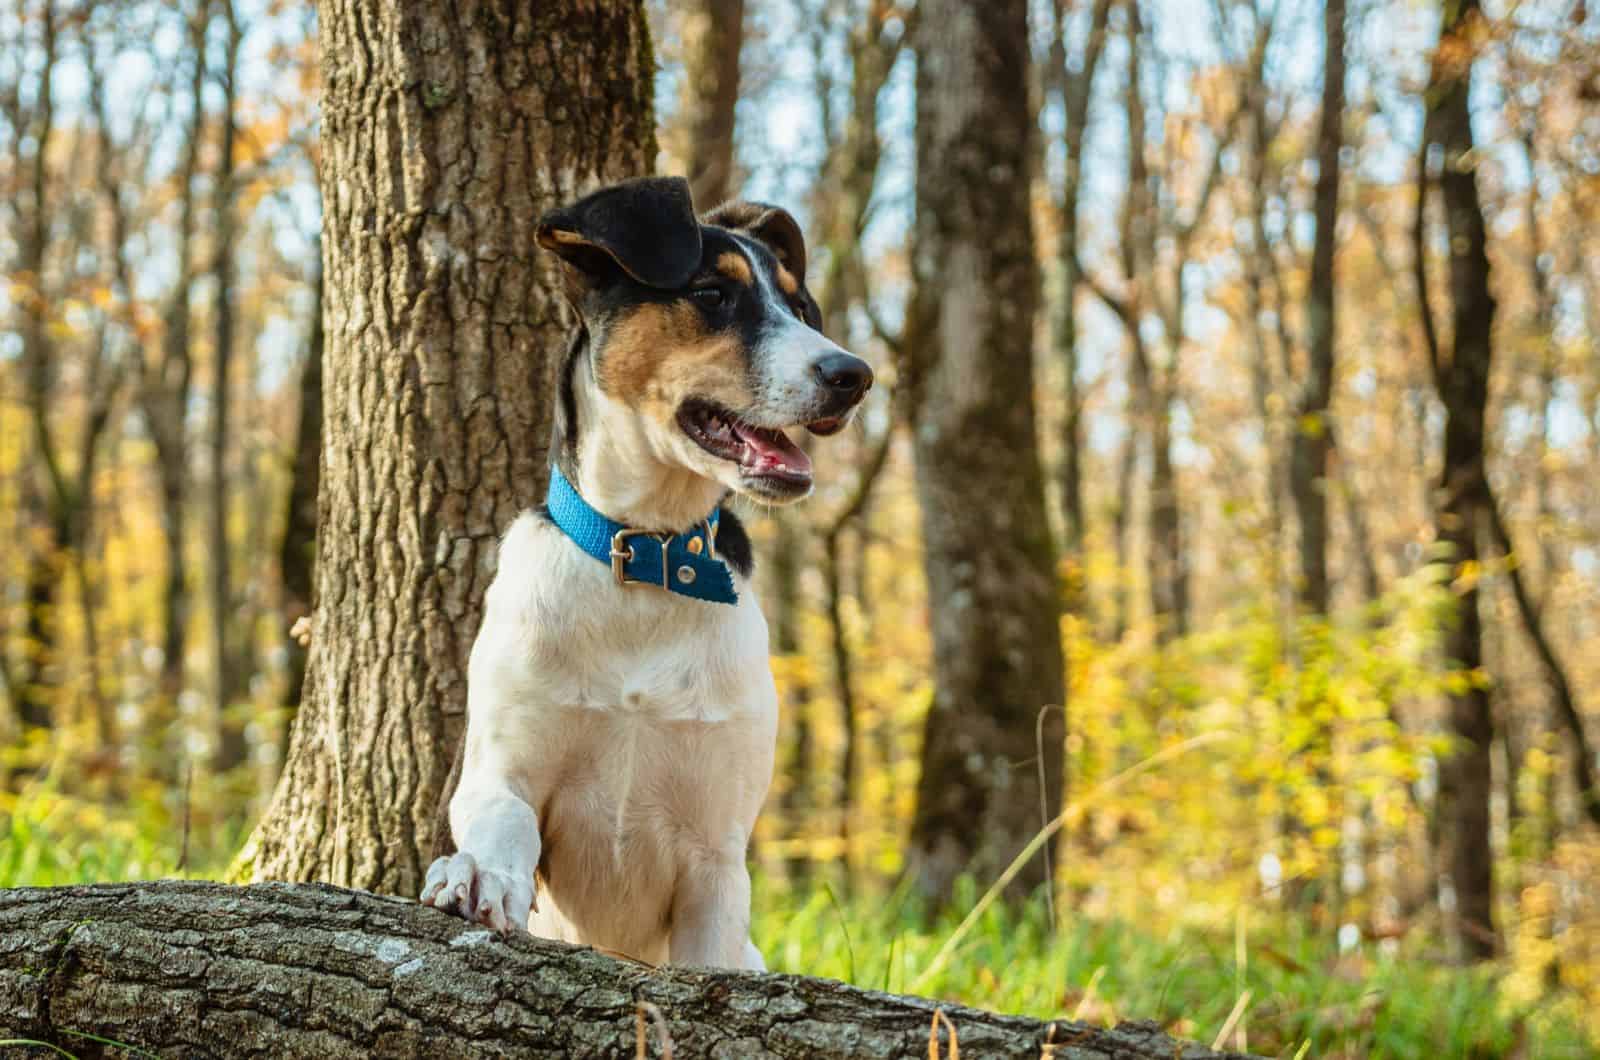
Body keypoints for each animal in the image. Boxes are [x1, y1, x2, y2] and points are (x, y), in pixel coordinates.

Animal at [419, 176, 876, 973]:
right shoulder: (504, 767)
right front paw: (479, 874)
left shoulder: (716, 854)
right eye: (712, 294)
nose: (854, 375)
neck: (651, 561)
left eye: (801, 310)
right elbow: (502, 821)